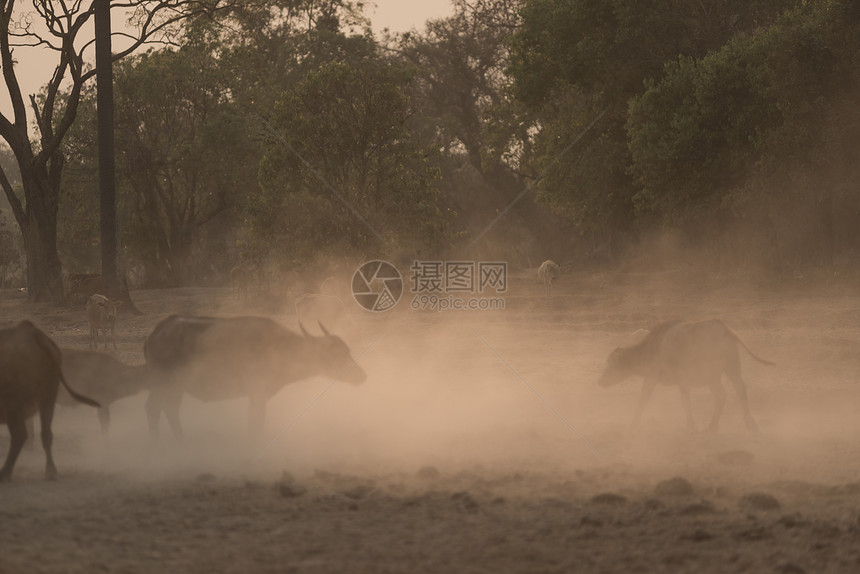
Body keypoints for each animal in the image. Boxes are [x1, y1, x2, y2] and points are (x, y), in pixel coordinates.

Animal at [0, 322, 100, 484]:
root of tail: (35, 334)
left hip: (13, 402)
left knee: (19, 434)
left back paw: (4, 474)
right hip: (49, 392)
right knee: (46, 433)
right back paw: (51, 472)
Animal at [144, 318, 366, 438]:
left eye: (348, 351)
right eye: (337, 355)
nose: (361, 376)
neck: (283, 348)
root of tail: (154, 335)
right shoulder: (257, 394)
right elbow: (256, 423)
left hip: (173, 387)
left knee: (168, 409)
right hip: (164, 384)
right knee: (155, 409)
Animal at [596, 320, 772, 432]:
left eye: (610, 364)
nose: (600, 381)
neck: (651, 349)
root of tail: (723, 328)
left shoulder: (659, 378)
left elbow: (647, 398)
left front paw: (634, 424)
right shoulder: (680, 382)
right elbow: (684, 401)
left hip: (718, 372)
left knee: (729, 392)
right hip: (728, 369)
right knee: (733, 390)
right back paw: (726, 425)